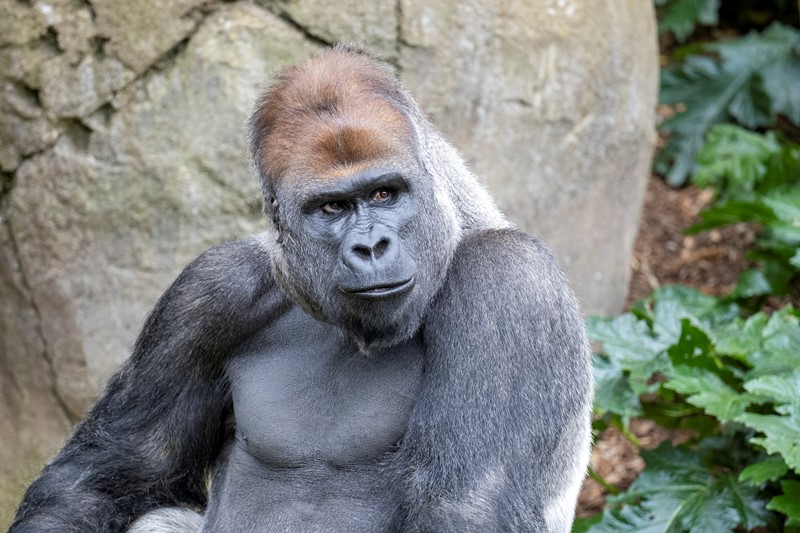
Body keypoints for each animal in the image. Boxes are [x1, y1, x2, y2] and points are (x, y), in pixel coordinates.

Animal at [10, 45, 592, 533]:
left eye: (384, 194)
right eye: (331, 207)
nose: (371, 247)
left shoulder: (511, 282)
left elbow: (464, 506)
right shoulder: (207, 291)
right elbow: (110, 476)